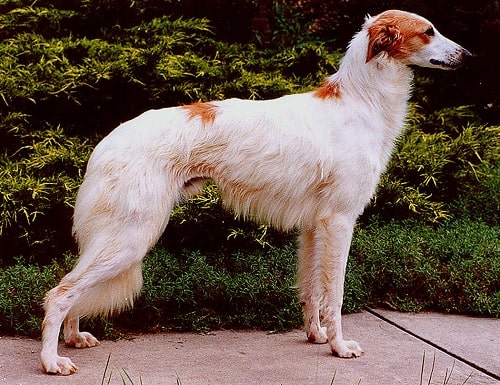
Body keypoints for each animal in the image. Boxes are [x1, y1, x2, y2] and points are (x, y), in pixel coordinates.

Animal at [41, 10, 470, 374]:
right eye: (428, 31)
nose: (468, 55)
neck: (360, 102)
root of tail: (105, 144)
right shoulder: (339, 221)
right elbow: (334, 294)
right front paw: (339, 347)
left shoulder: (314, 226)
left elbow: (311, 290)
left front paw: (316, 336)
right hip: (130, 236)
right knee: (60, 292)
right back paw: (51, 361)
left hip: (116, 237)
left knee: (73, 289)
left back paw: (74, 338)